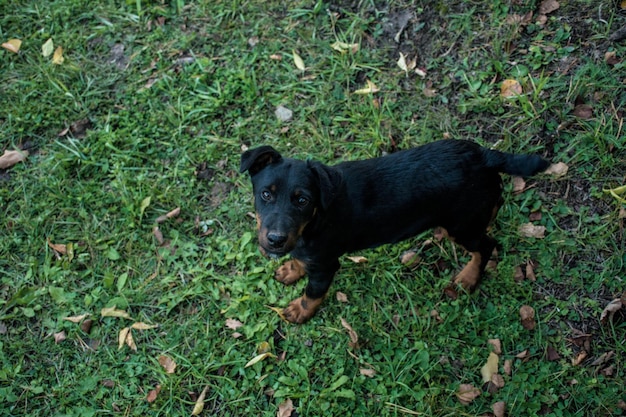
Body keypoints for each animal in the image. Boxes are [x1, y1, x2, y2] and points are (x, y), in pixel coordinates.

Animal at [239, 139, 544, 322]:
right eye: (265, 194)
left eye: (303, 201)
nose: (275, 241)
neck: (314, 220)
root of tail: (483, 155)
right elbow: (300, 261)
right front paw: (291, 269)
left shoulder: (326, 265)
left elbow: (313, 293)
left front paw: (298, 311)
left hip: (463, 225)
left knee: (486, 245)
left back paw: (468, 278)